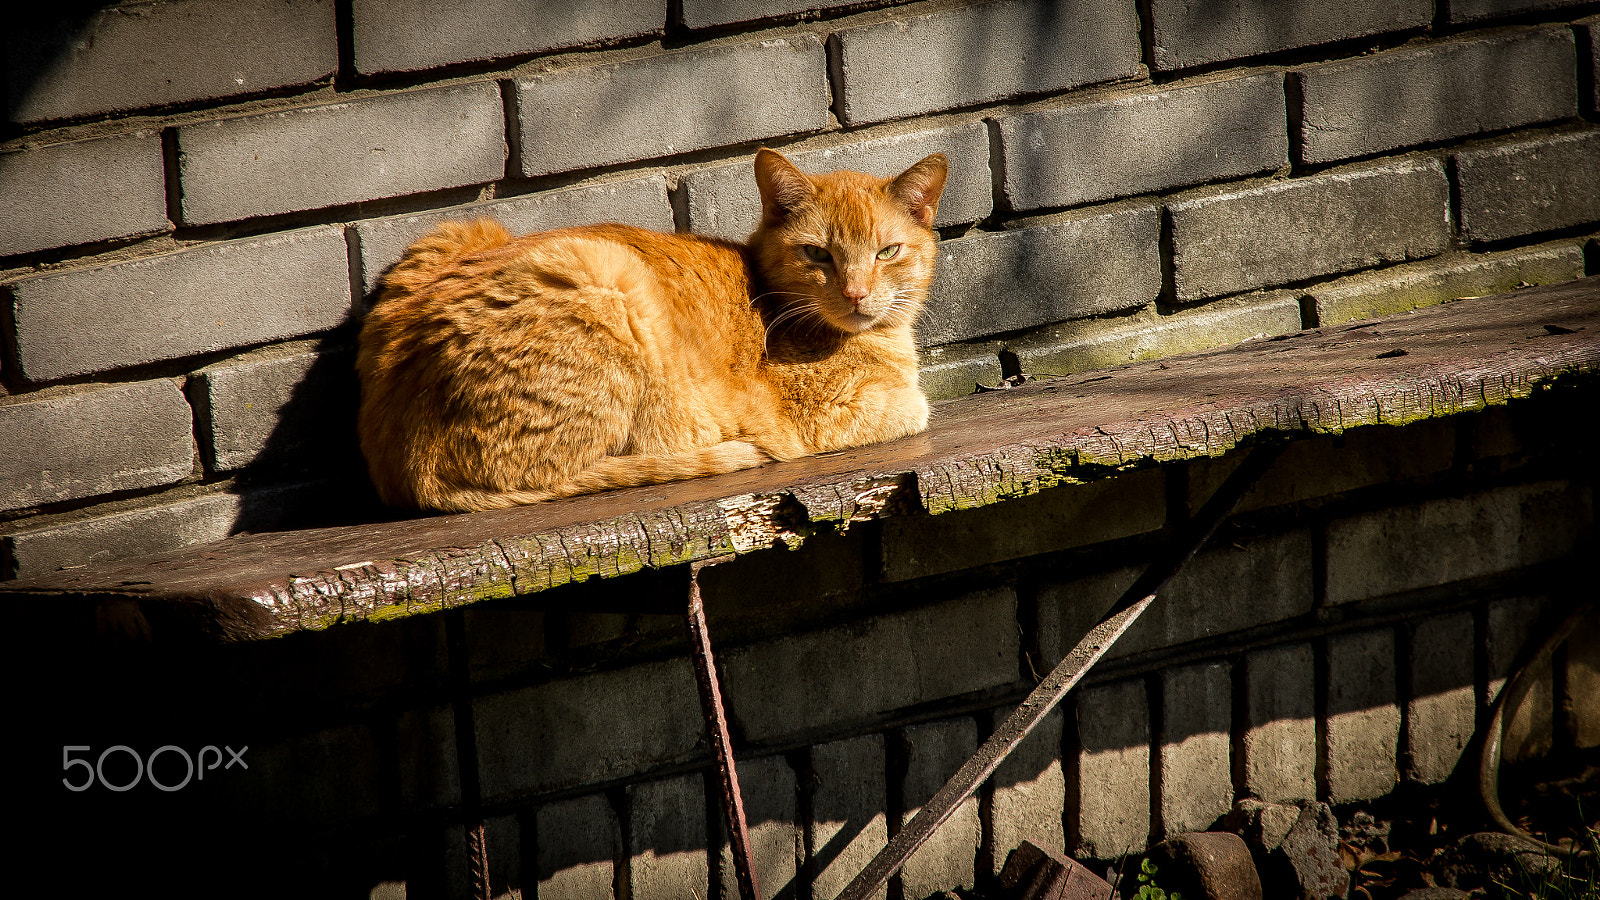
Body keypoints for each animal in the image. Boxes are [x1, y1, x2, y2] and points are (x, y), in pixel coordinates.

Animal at [356, 150, 940, 509]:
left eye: (887, 252)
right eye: (818, 254)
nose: (857, 294)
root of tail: (407, 469)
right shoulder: (831, 415)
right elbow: (917, 408)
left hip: (452, 234)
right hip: (608, 277)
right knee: (553, 475)